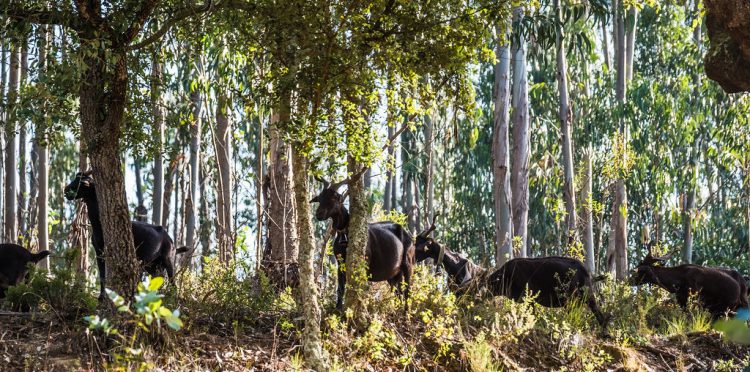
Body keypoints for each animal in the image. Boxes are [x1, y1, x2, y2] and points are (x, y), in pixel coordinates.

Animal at [312, 177, 418, 308]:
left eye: (334, 197)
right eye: (319, 198)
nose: (319, 214)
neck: (345, 234)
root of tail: (409, 237)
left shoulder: (365, 260)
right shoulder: (340, 262)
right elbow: (340, 287)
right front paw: (338, 309)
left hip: (408, 263)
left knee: (408, 292)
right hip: (393, 274)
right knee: (398, 293)